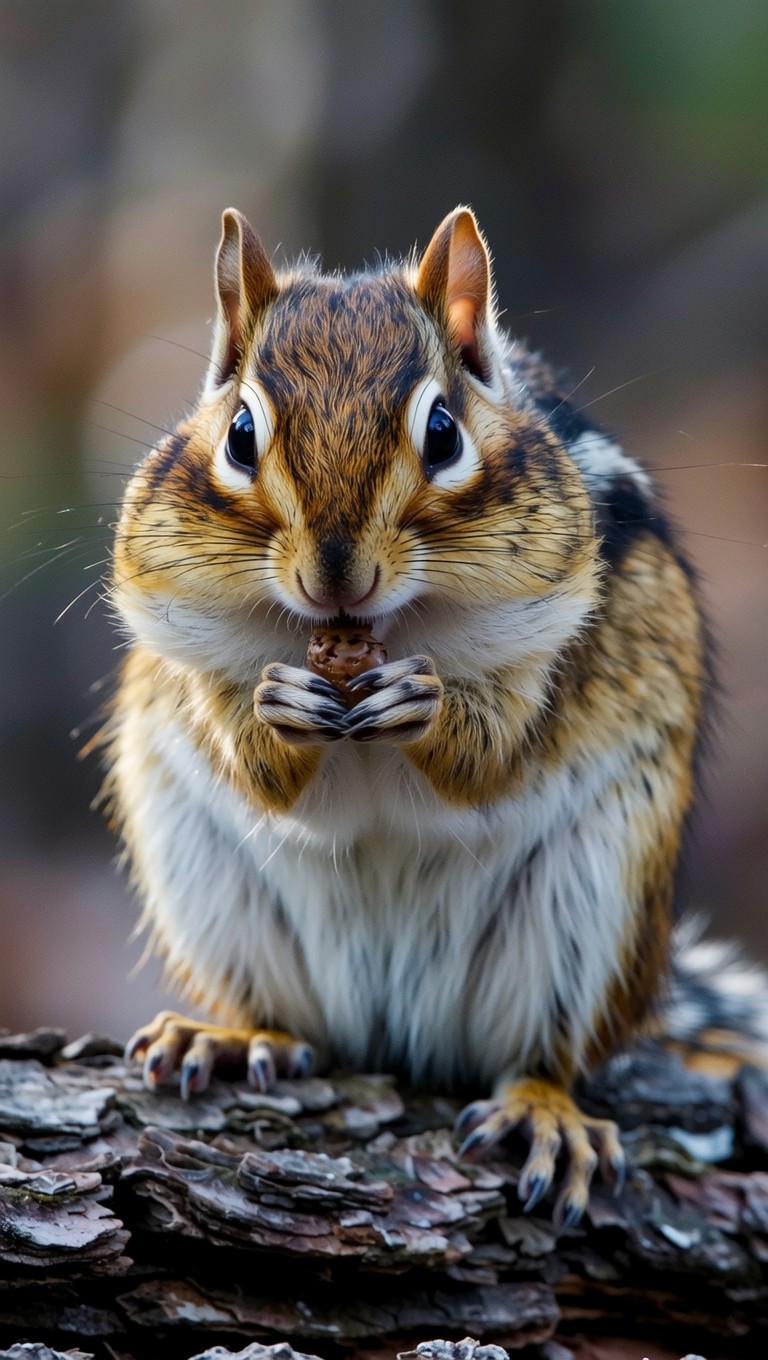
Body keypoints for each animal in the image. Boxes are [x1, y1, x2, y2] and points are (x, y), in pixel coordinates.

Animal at [105, 206, 767, 1225]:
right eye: (241, 433)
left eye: (445, 433)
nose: (336, 577)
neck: (369, 635)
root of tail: (396, 1025)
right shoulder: (175, 634)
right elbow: (252, 758)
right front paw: (275, 707)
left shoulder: (562, 622)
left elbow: (491, 754)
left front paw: (427, 705)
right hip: (211, 886)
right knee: (290, 1020)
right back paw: (231, 1037)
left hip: (591, 907)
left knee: (549, 1053)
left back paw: (547, 1113)